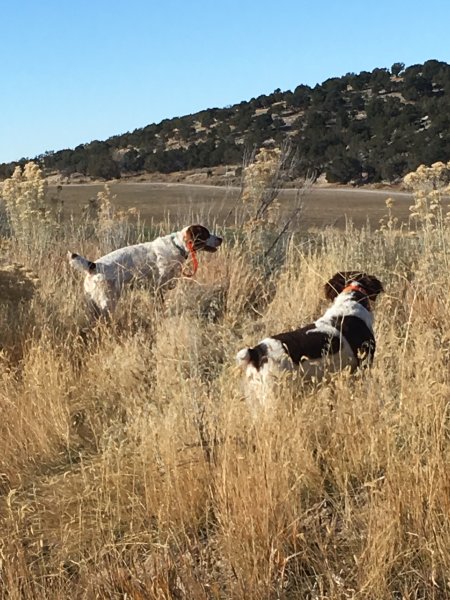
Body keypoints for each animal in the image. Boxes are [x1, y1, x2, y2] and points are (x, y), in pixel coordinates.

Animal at [67, 225, 222, 318]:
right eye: (206, 233)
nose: (221, 238)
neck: (178, 246)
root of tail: (93, 265)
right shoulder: (158, 287)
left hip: (93, 303)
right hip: (108, 301)